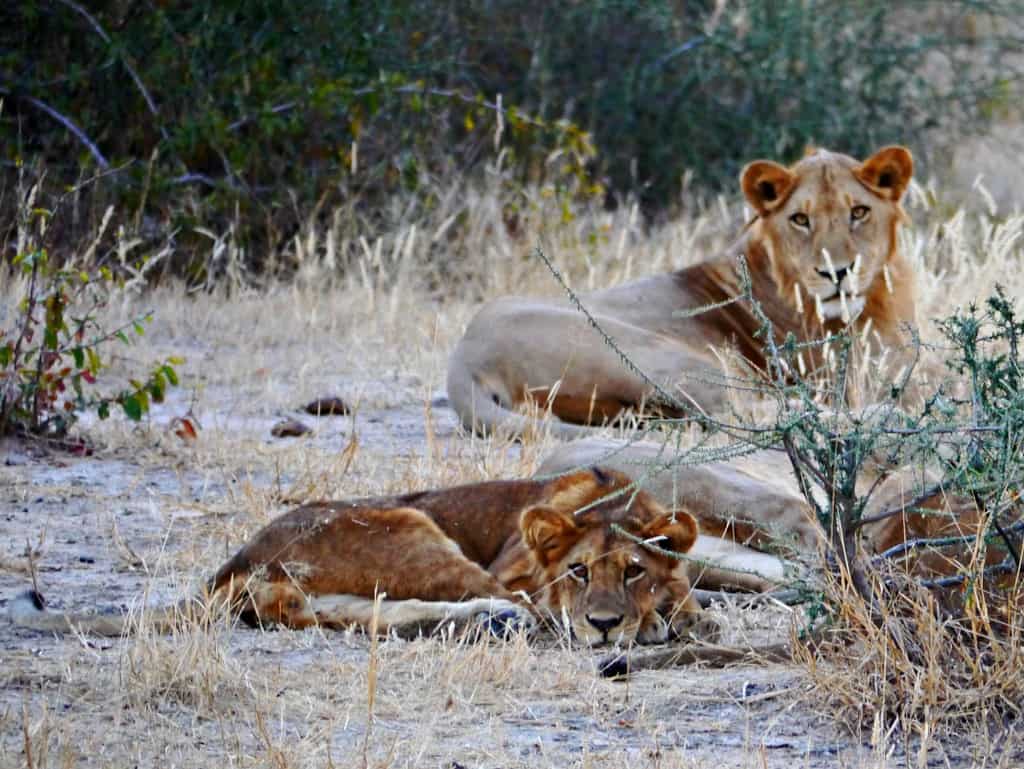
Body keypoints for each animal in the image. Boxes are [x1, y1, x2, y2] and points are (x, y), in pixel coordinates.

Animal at [12, 468, 724, 651]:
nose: (602, 625)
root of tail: (231, 564)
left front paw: (683, 608)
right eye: (578, 572)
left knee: (349, 614)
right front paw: (658, 620)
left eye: (632, 571)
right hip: (413, 524)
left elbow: (694, 592)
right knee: (515, 609)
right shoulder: (519, 570)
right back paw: (499, 621)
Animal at [452, 143, 917, 434]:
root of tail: (463, 360)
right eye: (800, 219)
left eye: (859, 212)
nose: (837, 272)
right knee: (745, 413)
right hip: (684, 360)